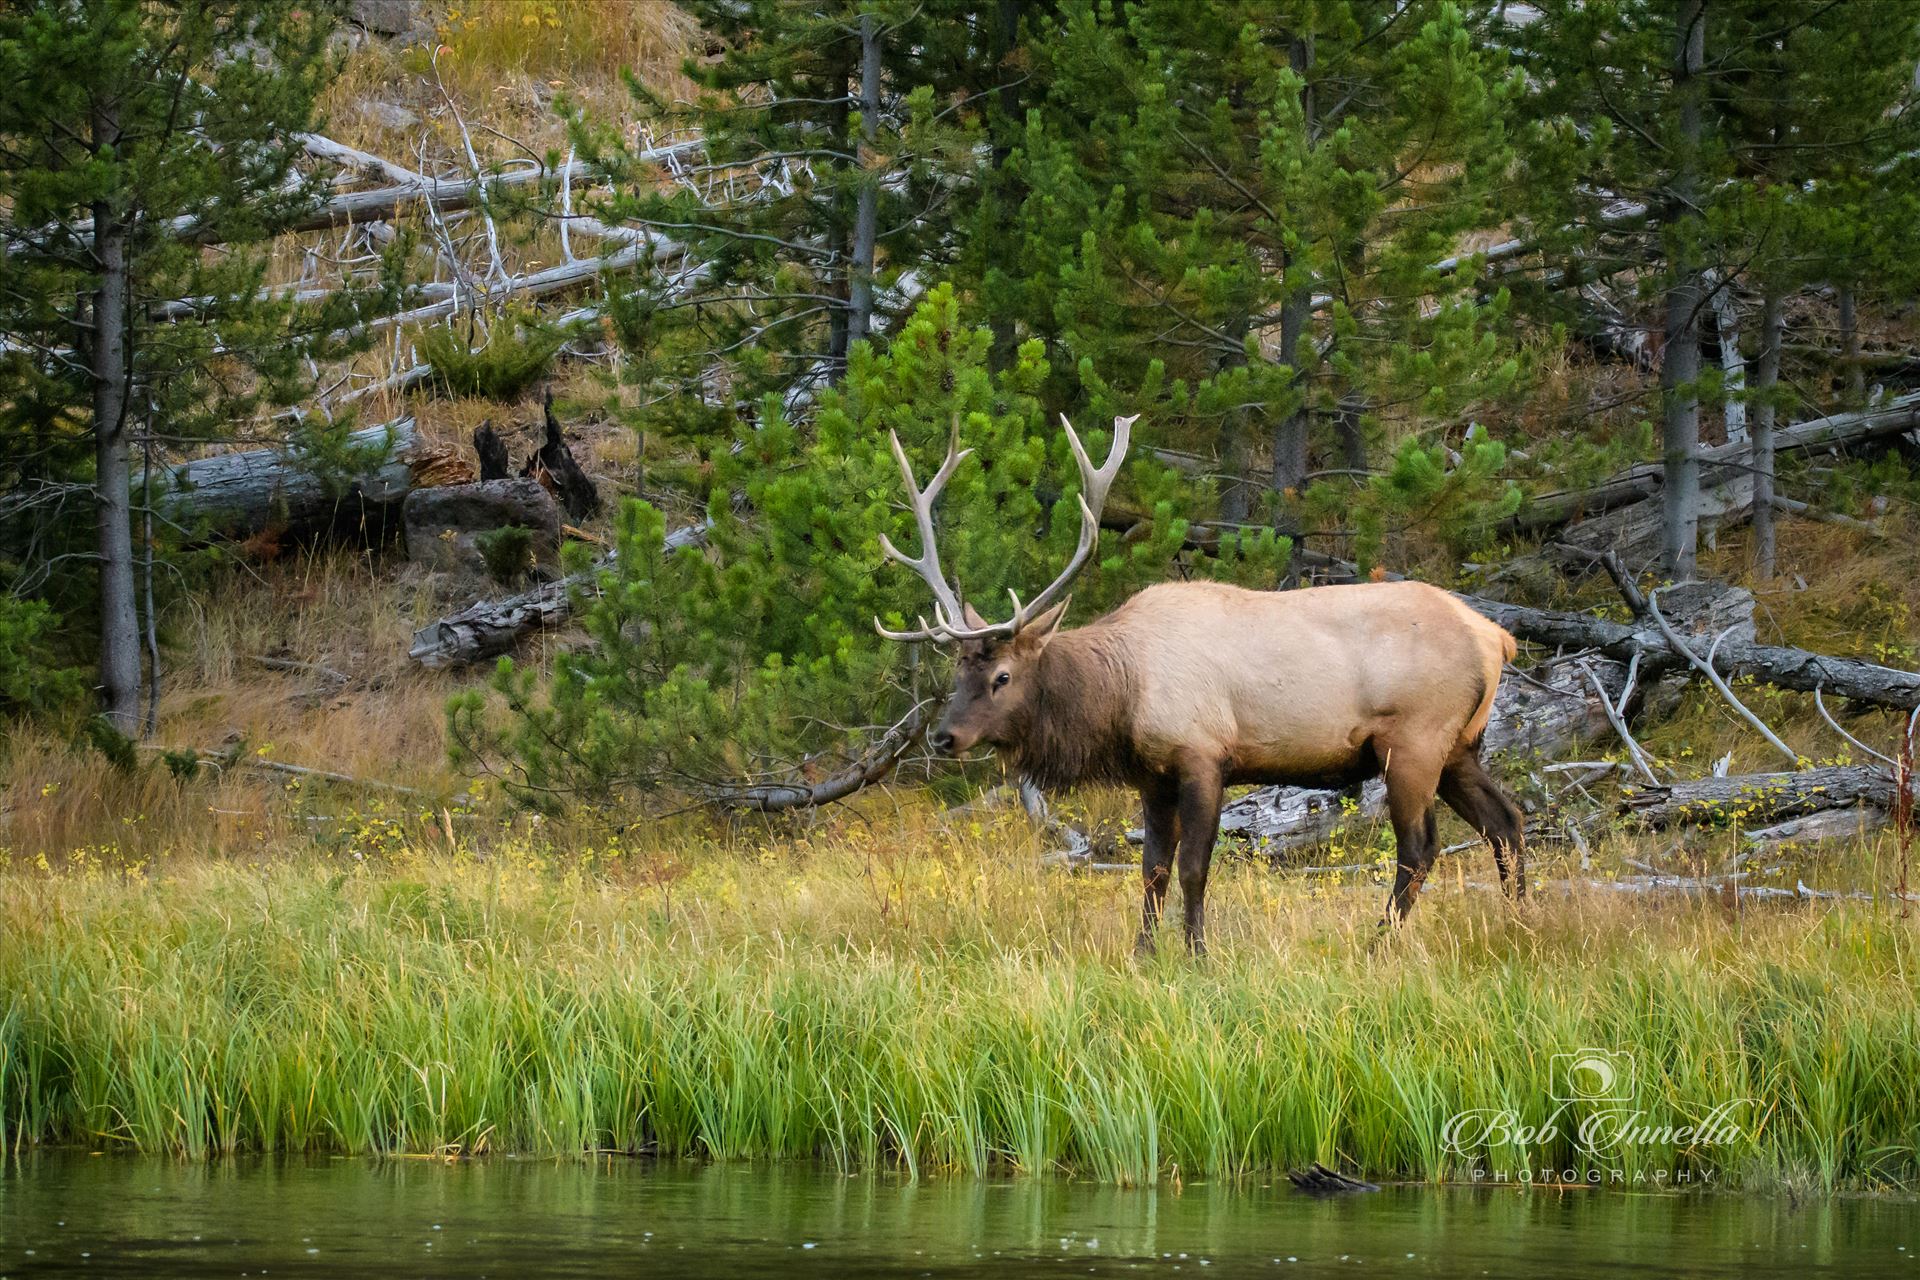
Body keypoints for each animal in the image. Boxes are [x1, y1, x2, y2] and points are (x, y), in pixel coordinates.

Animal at [879, 410, 1520, 951]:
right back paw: (1518, 918)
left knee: (1420, 848)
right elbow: (1152, 869)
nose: (944, 737)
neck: (1122, 696)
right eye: (958, 669)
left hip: (1413, 741)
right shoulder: (1152, 775)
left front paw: (1196, 953)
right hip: (1459, 746)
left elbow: (1194, 867)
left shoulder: (1204, 754)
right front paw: (1141, 953)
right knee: (1506, 824)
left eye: (1003, 675)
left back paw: (1378, 943)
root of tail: (1497, 638)